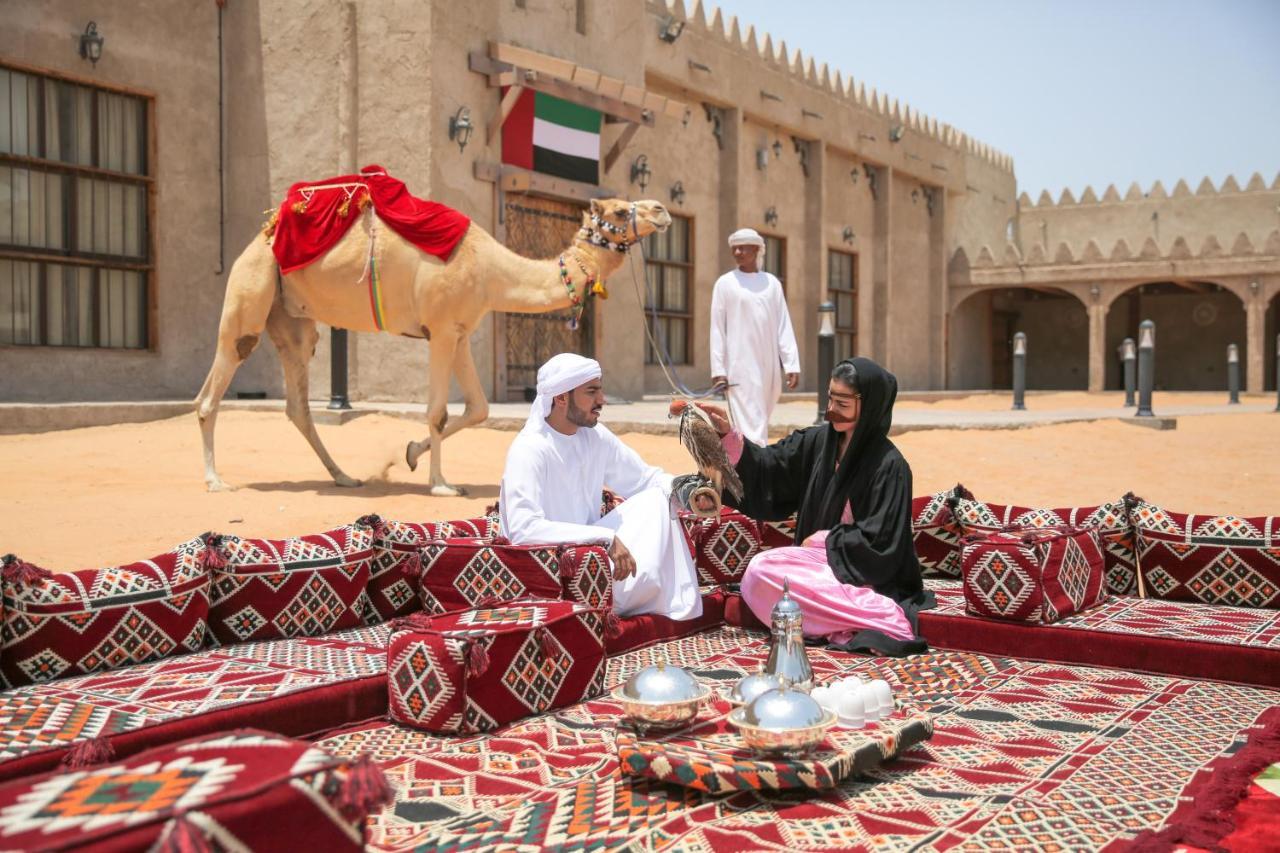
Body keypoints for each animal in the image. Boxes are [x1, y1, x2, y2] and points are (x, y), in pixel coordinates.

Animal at [194, 193, 675, 494]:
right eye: (619, 209)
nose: (661, 210)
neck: (490, 270)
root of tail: (262, 235)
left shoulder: (459, 332)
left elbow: (478, 409)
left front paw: (408, 456)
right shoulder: (441, 330)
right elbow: (439, 412)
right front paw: (441, 484)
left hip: (294, 322)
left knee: (298, 406)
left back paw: (344, 477)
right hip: (249, 295)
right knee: (212, 390)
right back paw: (216, 480)